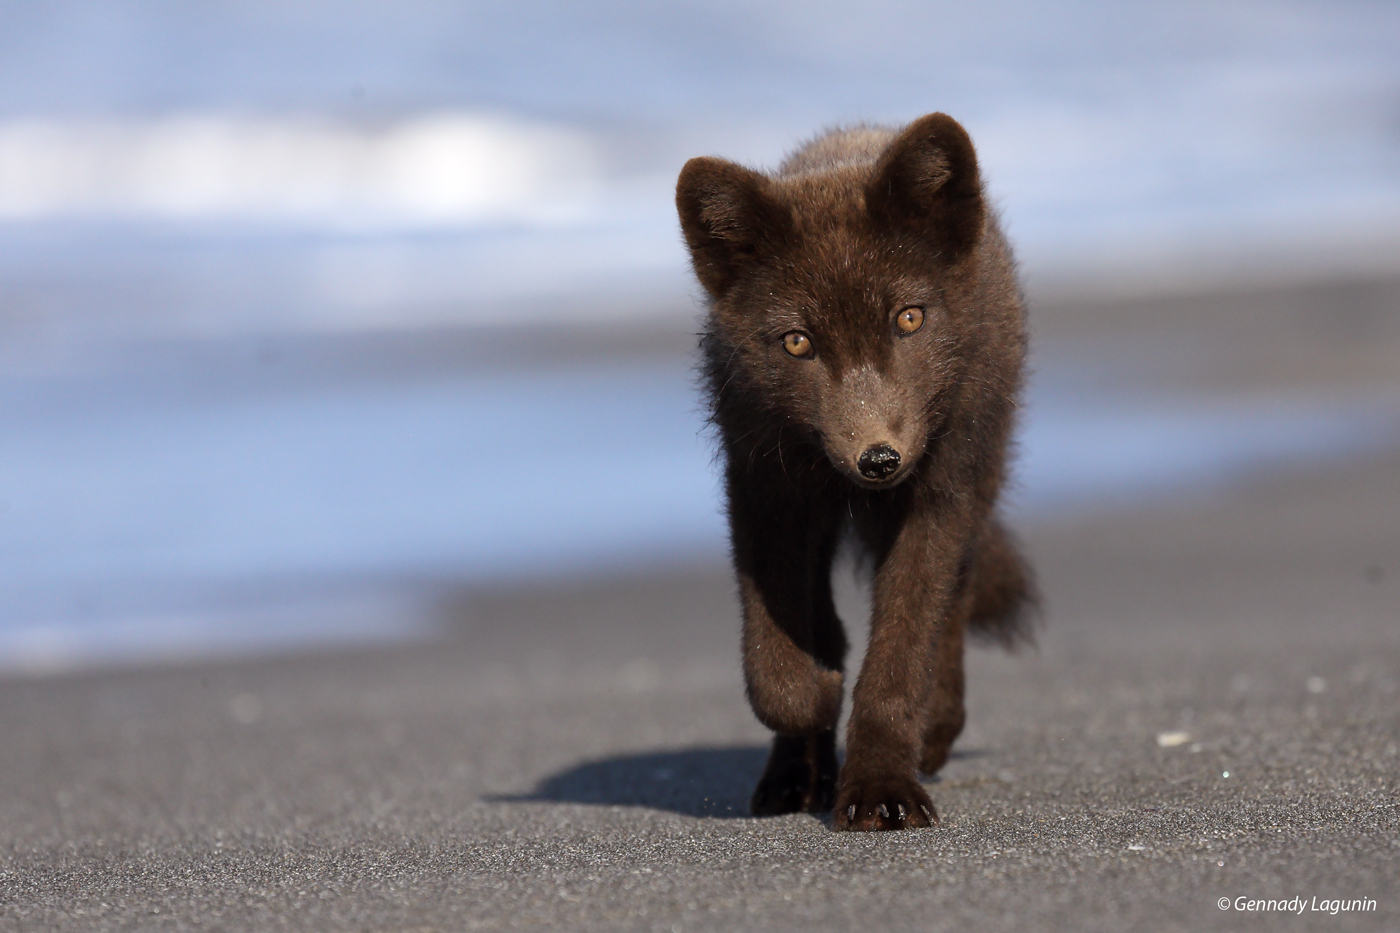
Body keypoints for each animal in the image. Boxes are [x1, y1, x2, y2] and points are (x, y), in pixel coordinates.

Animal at [677, 112, 1041, 829]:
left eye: (909, 318)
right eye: (797, 342)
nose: (878, 459)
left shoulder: (938, 497)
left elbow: (901, 654)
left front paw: (882, 790)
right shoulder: (763, 490)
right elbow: (777, 668)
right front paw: (818, 700)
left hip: (978, 481)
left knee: (953, 607)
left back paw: (935, 731)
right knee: (828, 624)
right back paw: (794, 775)